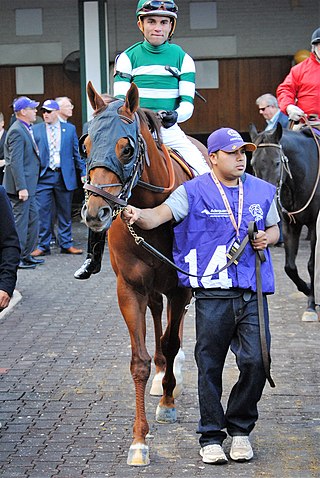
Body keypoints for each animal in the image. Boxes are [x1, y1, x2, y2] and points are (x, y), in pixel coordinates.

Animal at [81, 82, 206, 466]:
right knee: (156, 312)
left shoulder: (180, 287)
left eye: (126, 149)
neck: (152, 214)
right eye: (85, 145)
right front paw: (139, 440)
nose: (95, 212)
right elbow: (139, 361)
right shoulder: (130, 288)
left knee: (171, 330)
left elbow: (172, 340)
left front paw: (167, 402)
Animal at [250, 124, 320, 322]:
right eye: (253, 164)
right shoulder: (291, 225)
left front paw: (311, 305)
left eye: (276, 163)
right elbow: (289, 267)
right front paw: (306, 288)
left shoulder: (314, 226)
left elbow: (312, 265)